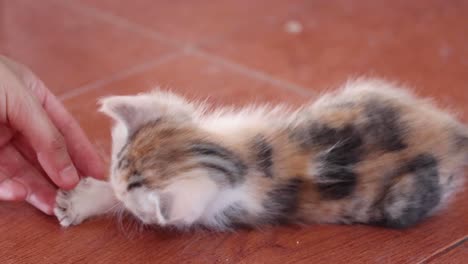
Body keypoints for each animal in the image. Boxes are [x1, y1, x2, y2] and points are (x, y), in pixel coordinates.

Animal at [55, 79, 468, 231]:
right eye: (113, 163)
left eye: (128, 194)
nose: (115, 182)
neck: (233, 162)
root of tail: (454, 137)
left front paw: (82, 202)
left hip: (401, 203)